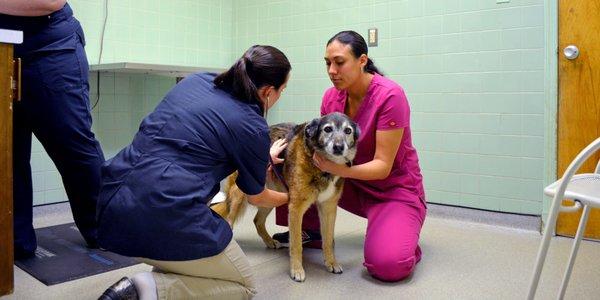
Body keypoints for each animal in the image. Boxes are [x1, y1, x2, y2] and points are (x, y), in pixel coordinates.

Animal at [212, 112, 358, 282]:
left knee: (257, 220)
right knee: (230, 219)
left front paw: (331, 263)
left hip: (269, 197)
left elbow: (327, 240)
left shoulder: (328, 208)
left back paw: (270, 241)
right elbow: (296, 244)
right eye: (327, 129)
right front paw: (297, 270)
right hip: (240, 195)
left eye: (348, 131)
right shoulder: (296, 208)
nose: (339, 147)